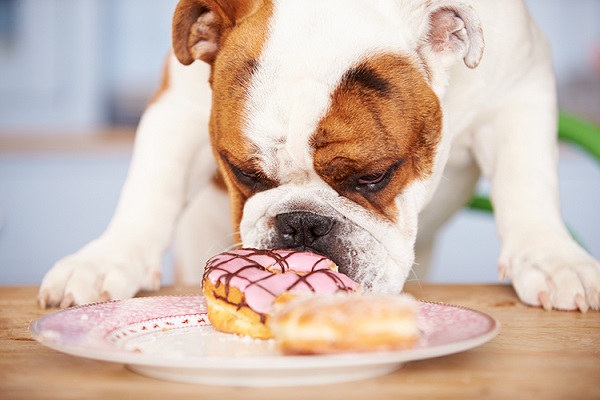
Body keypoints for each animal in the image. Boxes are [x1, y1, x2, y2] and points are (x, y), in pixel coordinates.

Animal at [39, 0, 596, 310]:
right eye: (243, 173)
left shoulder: (521, 88)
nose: (303, 223)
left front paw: (553, 259)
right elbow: (148, 190)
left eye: (374, 177)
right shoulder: (175, 105)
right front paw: (105, 261)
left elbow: (528, 184)